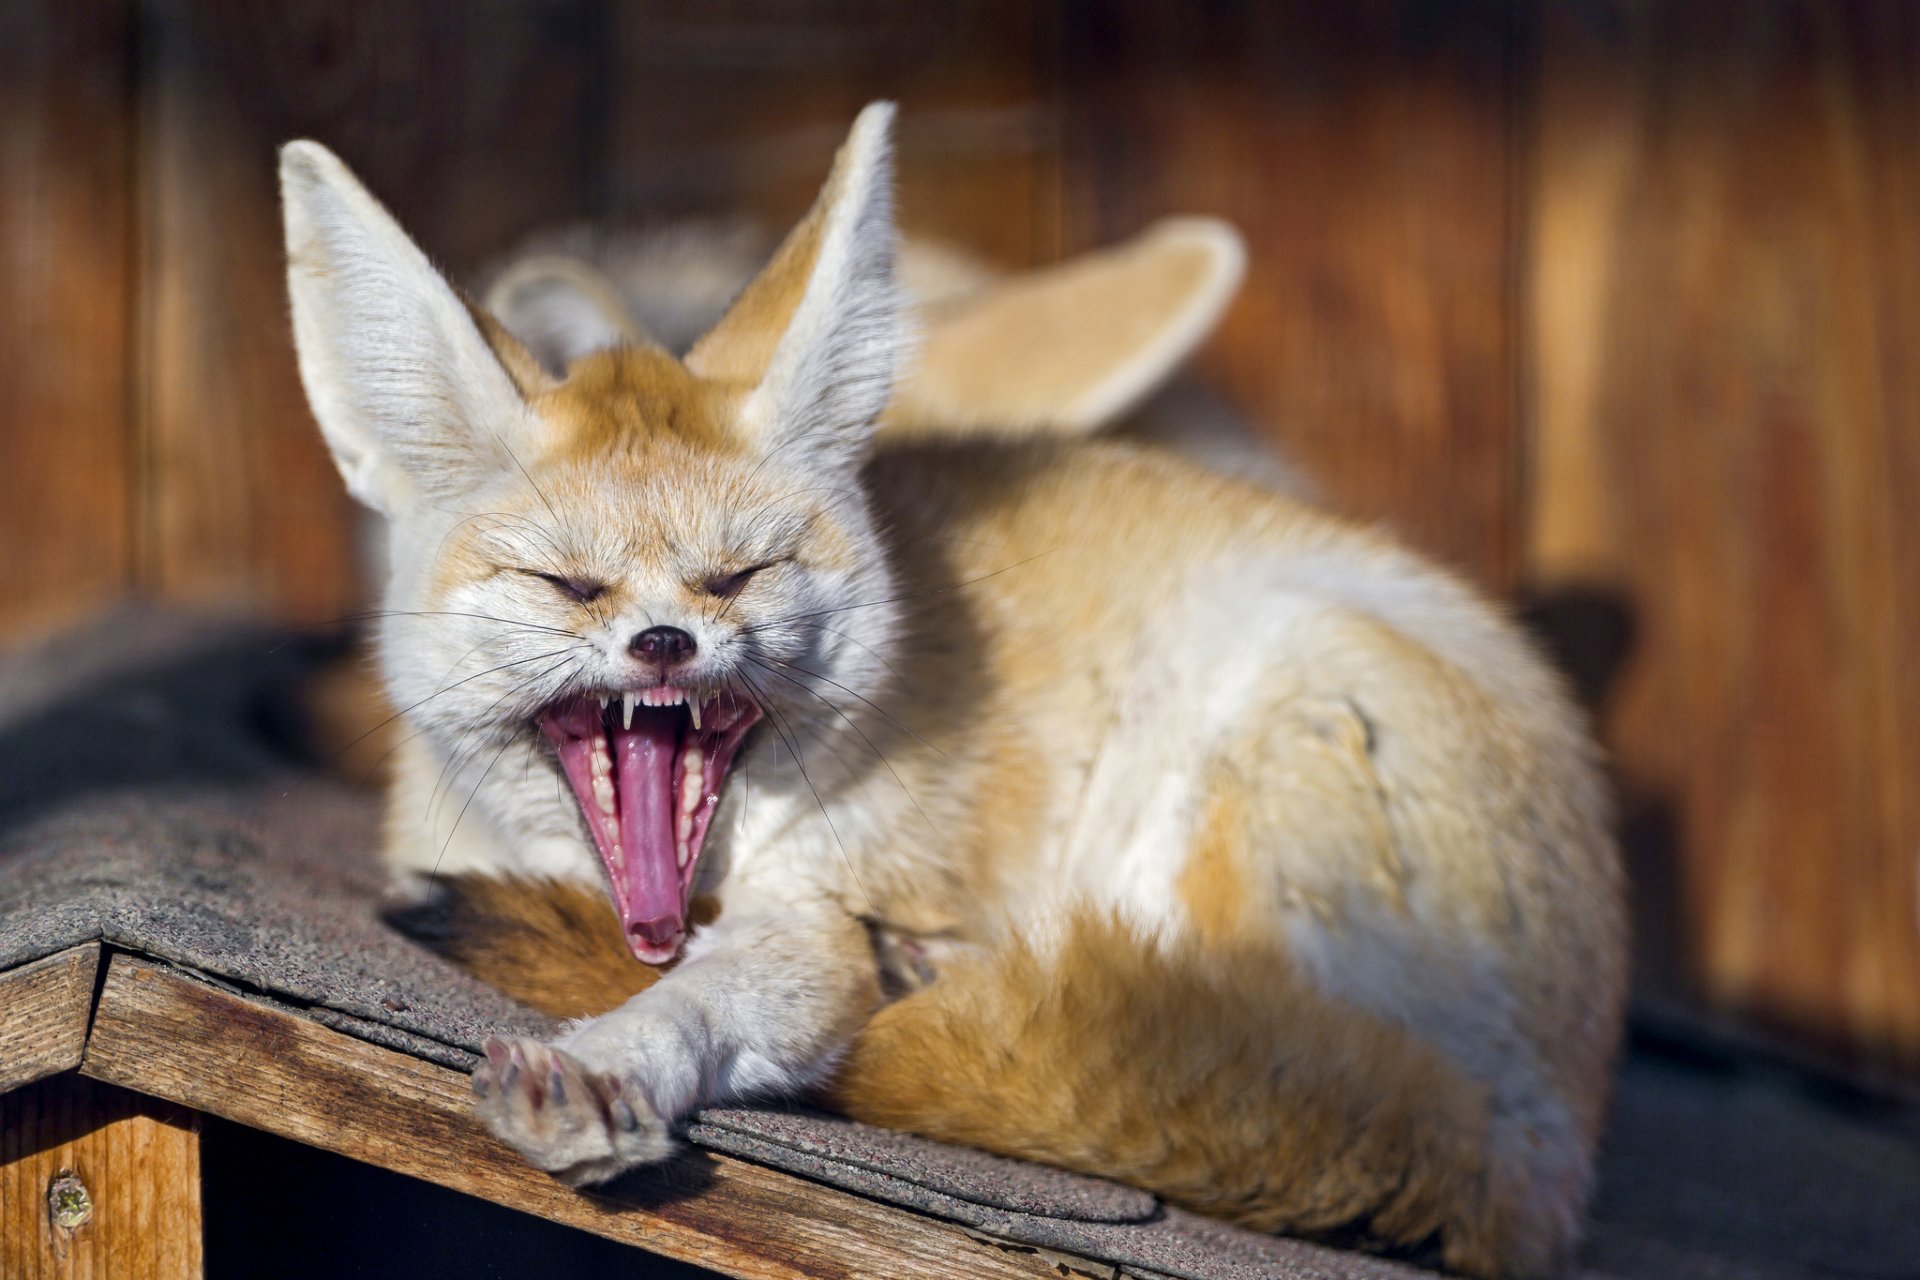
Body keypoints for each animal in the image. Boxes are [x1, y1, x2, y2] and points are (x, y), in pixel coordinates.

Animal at [278, 105, 1628, 1274]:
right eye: (570, 583)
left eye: (739, 573)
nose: (664, 642)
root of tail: (1544, 1142)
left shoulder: (812, 923)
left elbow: (701, 1003)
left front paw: (610, 1062)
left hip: (1273, 711)